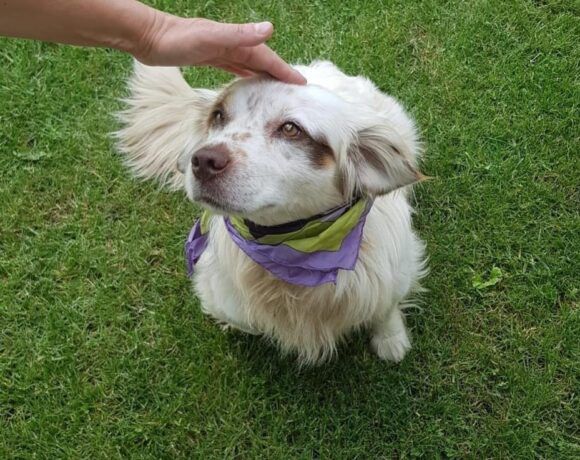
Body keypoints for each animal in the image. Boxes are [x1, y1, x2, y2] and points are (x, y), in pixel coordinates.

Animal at [115, 61, 428, 364]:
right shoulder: (220, 290)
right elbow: (242, 317)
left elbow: (386, 306)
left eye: (291, 128)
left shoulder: (397, 268)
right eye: (218, 116)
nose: (203, 160)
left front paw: (391, 340)